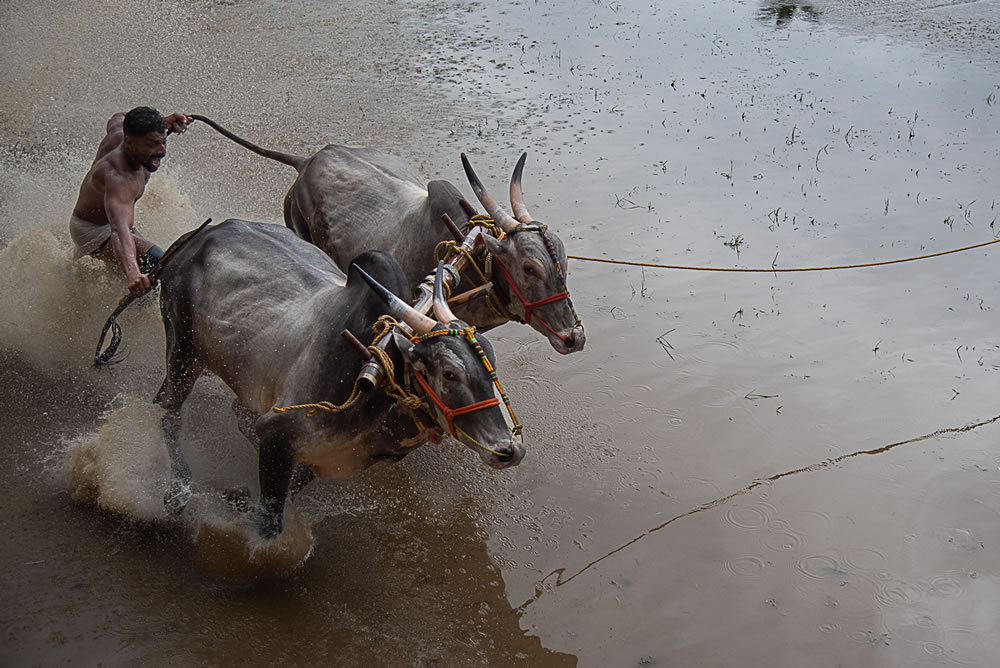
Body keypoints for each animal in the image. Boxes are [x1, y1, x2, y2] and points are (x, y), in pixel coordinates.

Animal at [151, 219, 524, 536]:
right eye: (449, 372)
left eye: (490, 363)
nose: (510, 450)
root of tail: (197, 237)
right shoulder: (277, 435)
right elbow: (269, 523)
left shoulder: (315, 461)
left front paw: (239, 497)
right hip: (183, 348)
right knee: (168, 410)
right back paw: (177, 490)